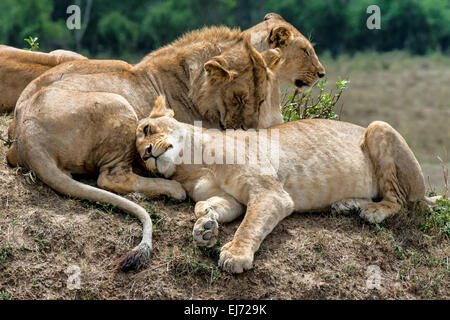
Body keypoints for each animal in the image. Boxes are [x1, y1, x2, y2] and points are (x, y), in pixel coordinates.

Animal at [6, 27, 282, 272]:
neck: (190, 83)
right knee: (111, 179)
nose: (248, 130)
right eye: (239, 98)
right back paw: (172, 189)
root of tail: (28, 138)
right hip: (119, 103)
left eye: (260, 100)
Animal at [134, 97, 442, 272]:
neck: (193, 166)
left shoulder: (270, 193)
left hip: (379, 127)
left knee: (400, 201)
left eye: (147, 129)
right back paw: (347, 205)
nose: (147, 154)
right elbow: (210, 205)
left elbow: (250, 224)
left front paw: (235, 254)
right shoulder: (233, 199)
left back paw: (372, 211)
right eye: (138, 158)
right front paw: (206, 225)